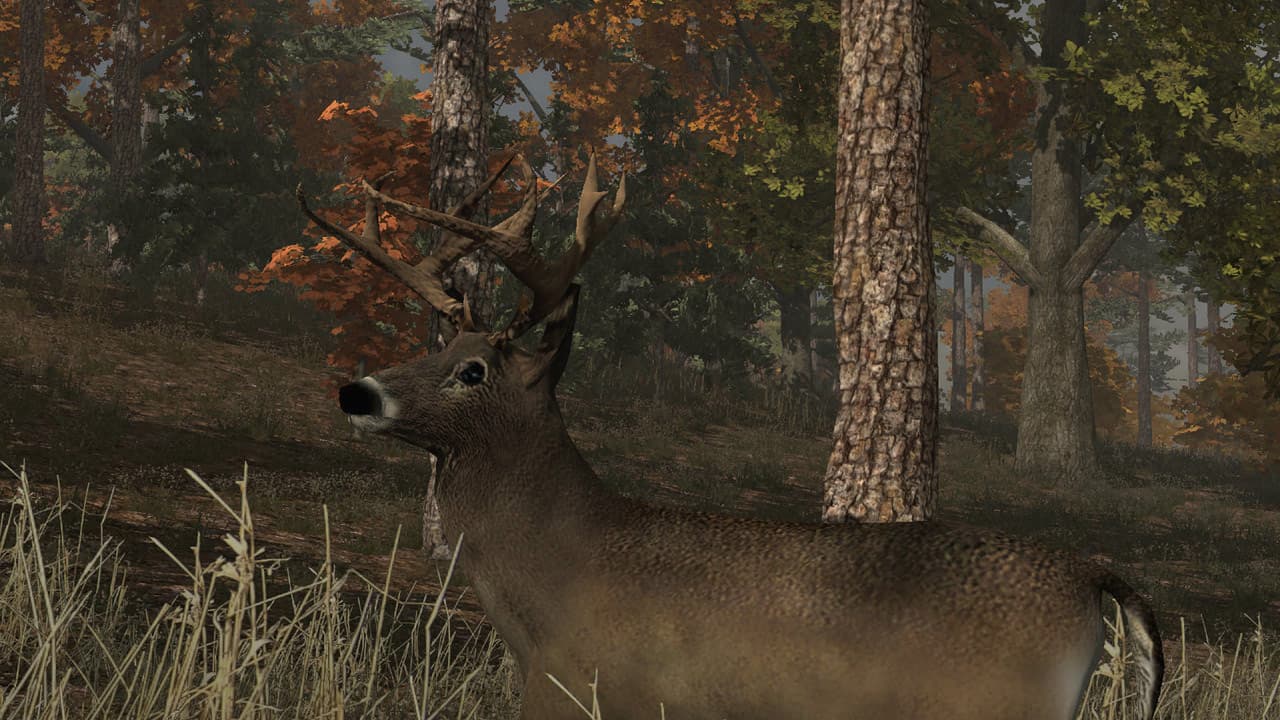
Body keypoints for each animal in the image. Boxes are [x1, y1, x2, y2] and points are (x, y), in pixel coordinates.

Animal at [297, 152, 1163, 720]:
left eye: (472, 369)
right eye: (437, 345)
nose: (357, 390)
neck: (550, 595)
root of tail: (1092, 574)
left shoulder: (608, 697)